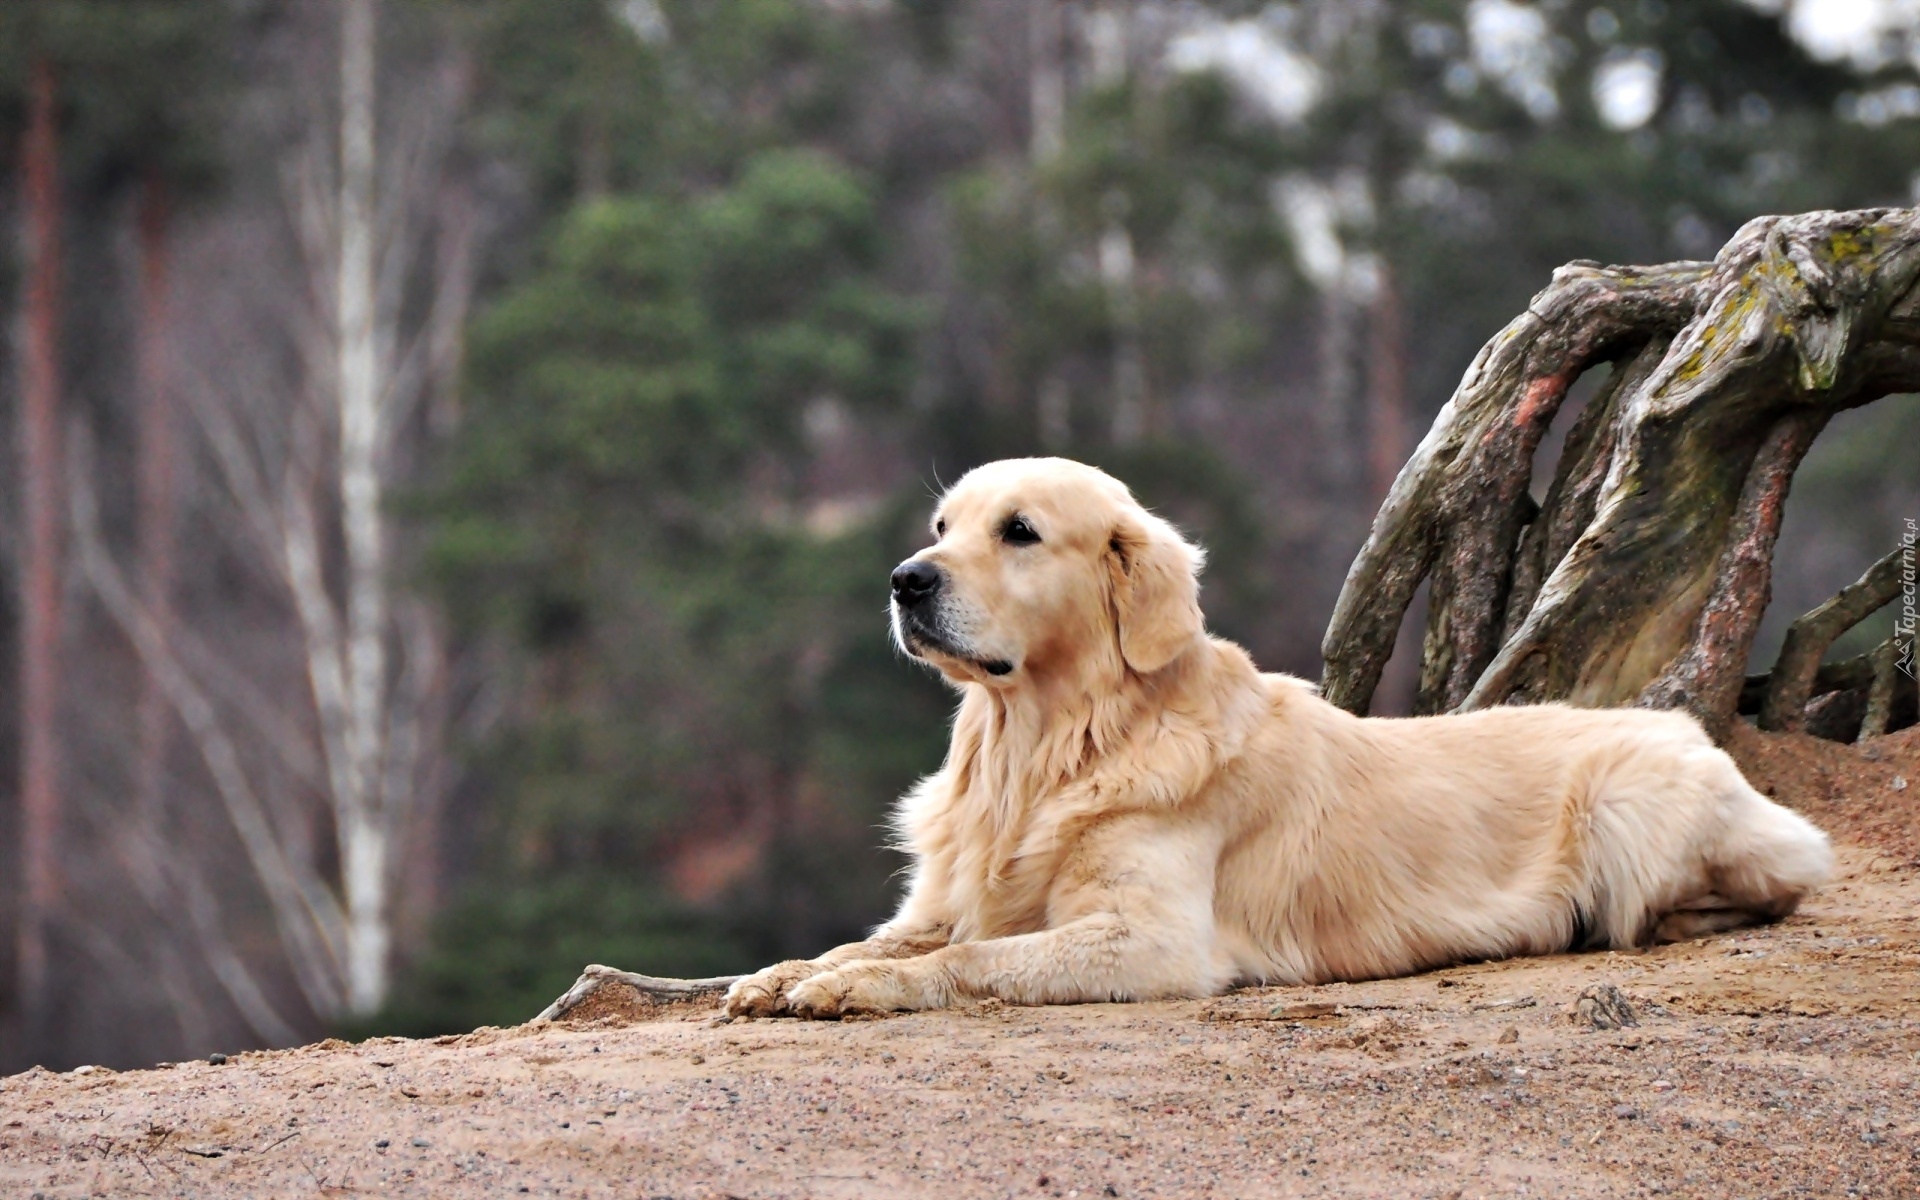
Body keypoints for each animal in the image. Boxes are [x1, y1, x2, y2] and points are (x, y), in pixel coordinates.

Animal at [725, 453, 1835, 1013]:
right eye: (944, 527)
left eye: (1021, 532)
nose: (905, 581)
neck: (1049, 745)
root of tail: (1690, 727)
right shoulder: (949, 895)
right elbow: (869, 939)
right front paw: (786, 975)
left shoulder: (1151, 939)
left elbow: (973, 960)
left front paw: (862, 986)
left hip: (1627, 797)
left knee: (1766, 886)